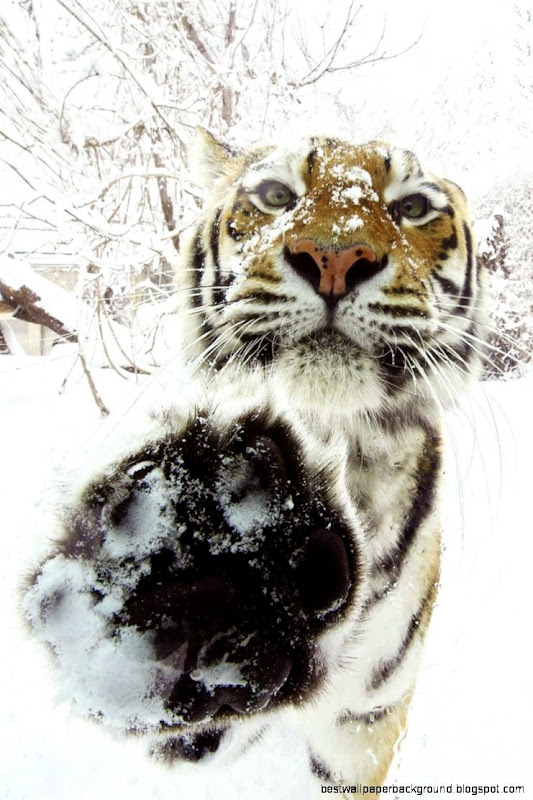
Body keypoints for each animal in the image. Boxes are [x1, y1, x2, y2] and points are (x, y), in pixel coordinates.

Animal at [22, 130, 487, 794]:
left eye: (414, 208)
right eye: (274, 196)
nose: (335, 258)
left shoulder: (364, 723)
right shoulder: (203, 732)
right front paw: (200, 547)